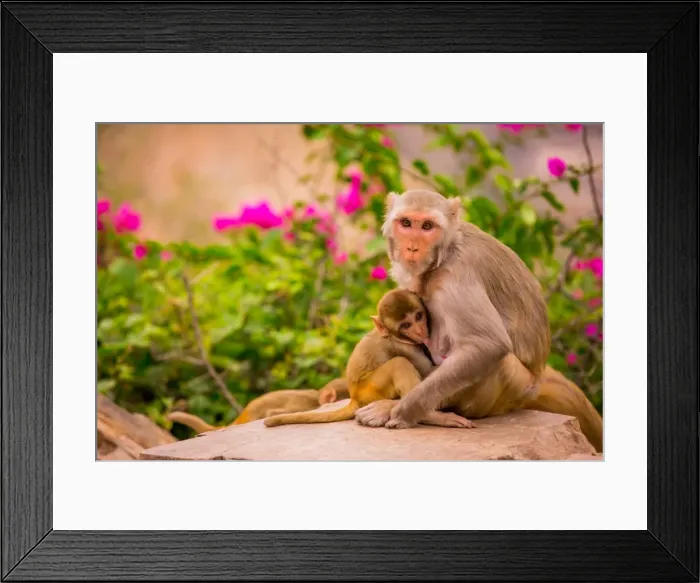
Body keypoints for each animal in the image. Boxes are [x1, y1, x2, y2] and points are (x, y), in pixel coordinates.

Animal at [263, 288, 473, 429]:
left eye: (419, 316)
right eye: (406, 325)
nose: (420, 331)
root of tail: (354, 397)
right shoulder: (404, 346)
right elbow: (426, 369)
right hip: (371, 389)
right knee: (399, 364)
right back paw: (430, 416)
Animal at [354, 189, 603, 453]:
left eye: (427, 226)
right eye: (406, 223)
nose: (412, 247)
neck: (445, 252)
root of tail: (537, 379)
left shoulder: (456, 278)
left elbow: (489, 345)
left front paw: (404, 411)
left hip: (507, 392)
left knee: (500, 362)